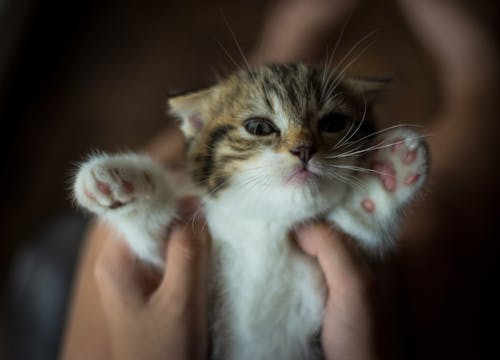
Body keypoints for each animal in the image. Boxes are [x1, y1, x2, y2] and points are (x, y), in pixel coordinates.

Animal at [72, 64, 428, 360]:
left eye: (333, 123)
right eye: (259, 127)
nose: (303, 150)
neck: (268, 226)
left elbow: (357, 225)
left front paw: (386, 177)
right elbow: (156, 242)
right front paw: (124, 183)